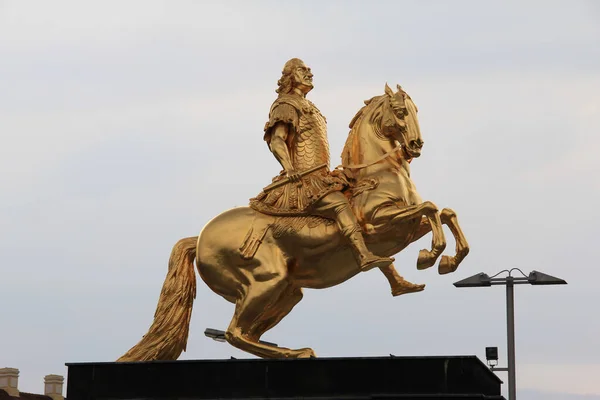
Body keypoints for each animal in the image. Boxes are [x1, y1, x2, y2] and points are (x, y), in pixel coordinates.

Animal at [118, 83, 468, 360]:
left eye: (415, 109)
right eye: (399, 111)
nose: (416, 146)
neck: (376, 174)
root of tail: (199, 239)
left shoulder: (404, 229)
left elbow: (445, 212)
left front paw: (448, 260)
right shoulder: (379, 224)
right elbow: (429, 208)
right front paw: (431, 255)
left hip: (288, 292)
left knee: (247, 333)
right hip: (267, 282)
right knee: (234, 332)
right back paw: (297, 352)